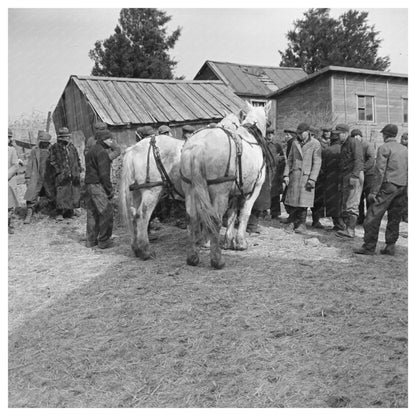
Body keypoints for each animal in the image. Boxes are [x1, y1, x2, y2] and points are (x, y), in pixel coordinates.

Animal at [181, 102, 272, 268]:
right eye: (268, 122)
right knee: (215, 218)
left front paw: (228, 241)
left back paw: (193, 257)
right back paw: (217, 260)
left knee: (192, 217)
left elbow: (231, 215)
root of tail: (199, 146)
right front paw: (240, 242)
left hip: (190, 189)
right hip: (219, 192)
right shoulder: (253, 189)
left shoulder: (235, 192)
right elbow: (244, 214)